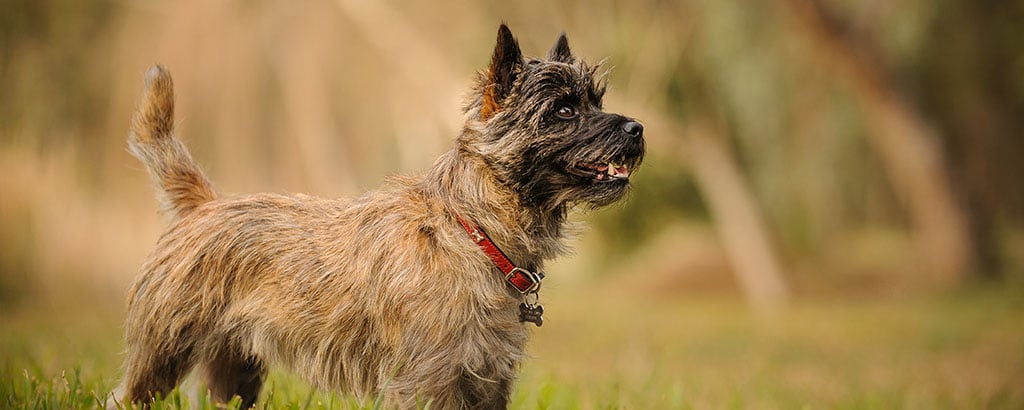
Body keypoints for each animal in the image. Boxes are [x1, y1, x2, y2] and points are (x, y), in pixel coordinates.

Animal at [119, 24, 643, 407]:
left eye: (595, 100)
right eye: (563, 110)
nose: (637, 127)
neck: (473, 229)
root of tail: (204, 203)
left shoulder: (488, 379)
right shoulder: (427, 382)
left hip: (234, 370)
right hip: (163, 352)